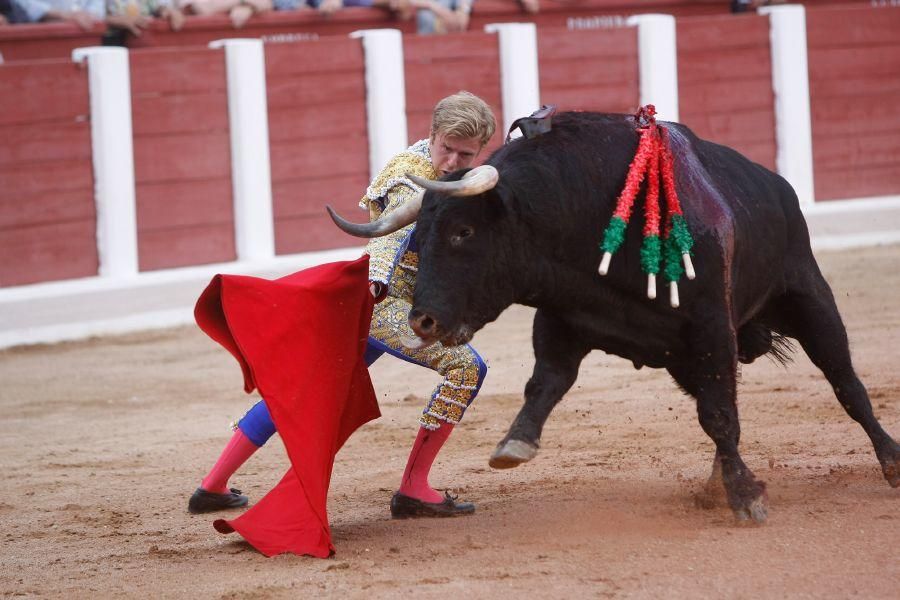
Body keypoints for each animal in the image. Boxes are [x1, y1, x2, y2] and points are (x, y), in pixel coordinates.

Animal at [328, 111, 892, 520]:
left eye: (463, 232)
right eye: (419, 236)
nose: (421, 322)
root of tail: (779, 186)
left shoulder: (710, 326)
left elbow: (720, 414)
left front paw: (746, 497)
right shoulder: (564, 317)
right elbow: (545, 383)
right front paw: (515, 444)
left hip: (807, 296)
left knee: (845, 383)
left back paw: (890, 462)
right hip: (690, 356)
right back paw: (717, 481)